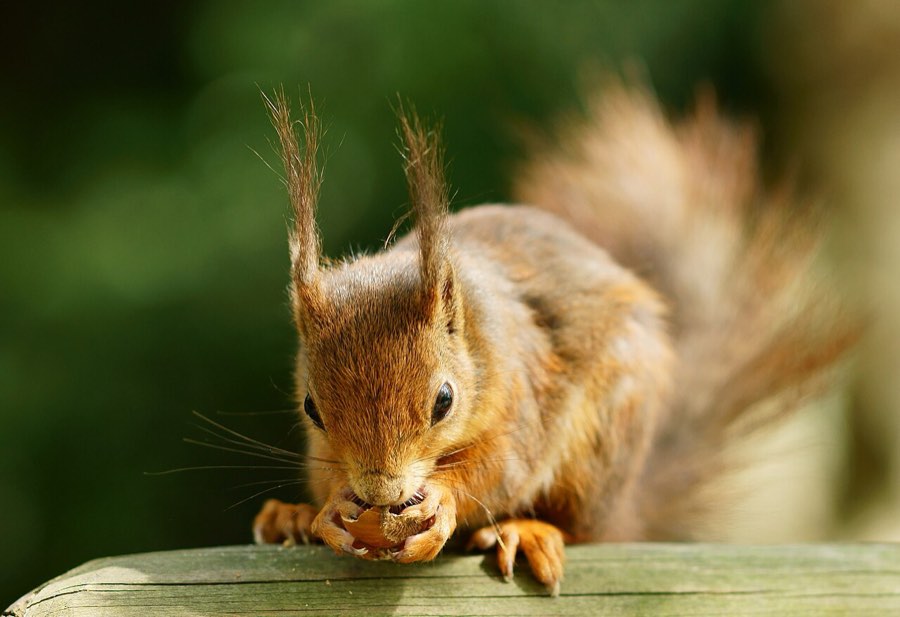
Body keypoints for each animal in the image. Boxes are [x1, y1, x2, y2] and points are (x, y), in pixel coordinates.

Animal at [251, 84, 856, 596]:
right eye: (311, 408)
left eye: (444, 400)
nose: (382, 495)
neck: (477, 337)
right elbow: (325, 472)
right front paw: (328, 511)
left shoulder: (522, 389)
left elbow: (503, 469)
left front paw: (443, 501)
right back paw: (291, 517)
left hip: (604, 439)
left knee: (578, 526)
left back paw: (527, 531)